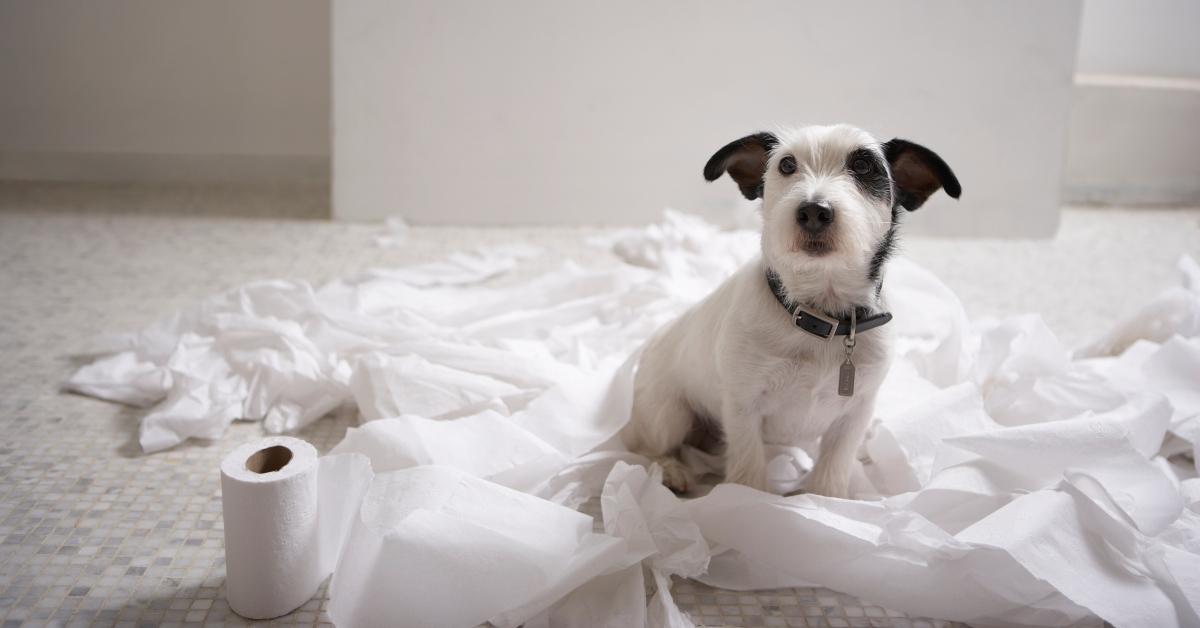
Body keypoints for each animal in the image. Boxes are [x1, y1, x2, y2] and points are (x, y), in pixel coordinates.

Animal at [624, 125, 960, 499]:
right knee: (645, 448)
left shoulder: (855, 413)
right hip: (668, 414)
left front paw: (824, 502)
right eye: (786, 165)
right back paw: (670, 470)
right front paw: (741, 502)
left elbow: (833, 467)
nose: (814, 211)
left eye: (863, 165)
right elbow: (747, 466)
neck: (822, 316)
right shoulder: (743, 407)